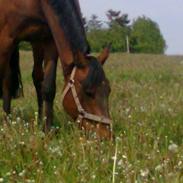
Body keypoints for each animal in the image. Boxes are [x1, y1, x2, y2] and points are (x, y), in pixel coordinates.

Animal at [0, 0, 113, 139]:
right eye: (88, 92)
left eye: (108, 90)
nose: (106, 135)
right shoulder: (5, 39)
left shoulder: (49, 40)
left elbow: (48, 88)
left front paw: (47, 130)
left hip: (36, 42)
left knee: (36, 77)